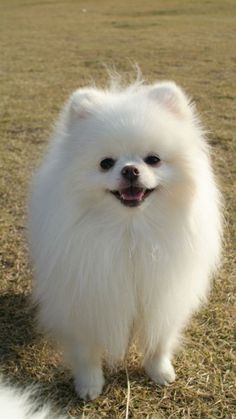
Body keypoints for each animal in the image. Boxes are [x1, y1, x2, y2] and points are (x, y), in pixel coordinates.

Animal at [28, 77, 222, 402]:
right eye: (106, 163)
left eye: (153, 160)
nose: (130, 170)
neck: (131, 231)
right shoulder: (87, 297)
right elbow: (87, 350)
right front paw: (89, 384)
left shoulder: (163, 294)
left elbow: (159, 340)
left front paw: (160, 371)